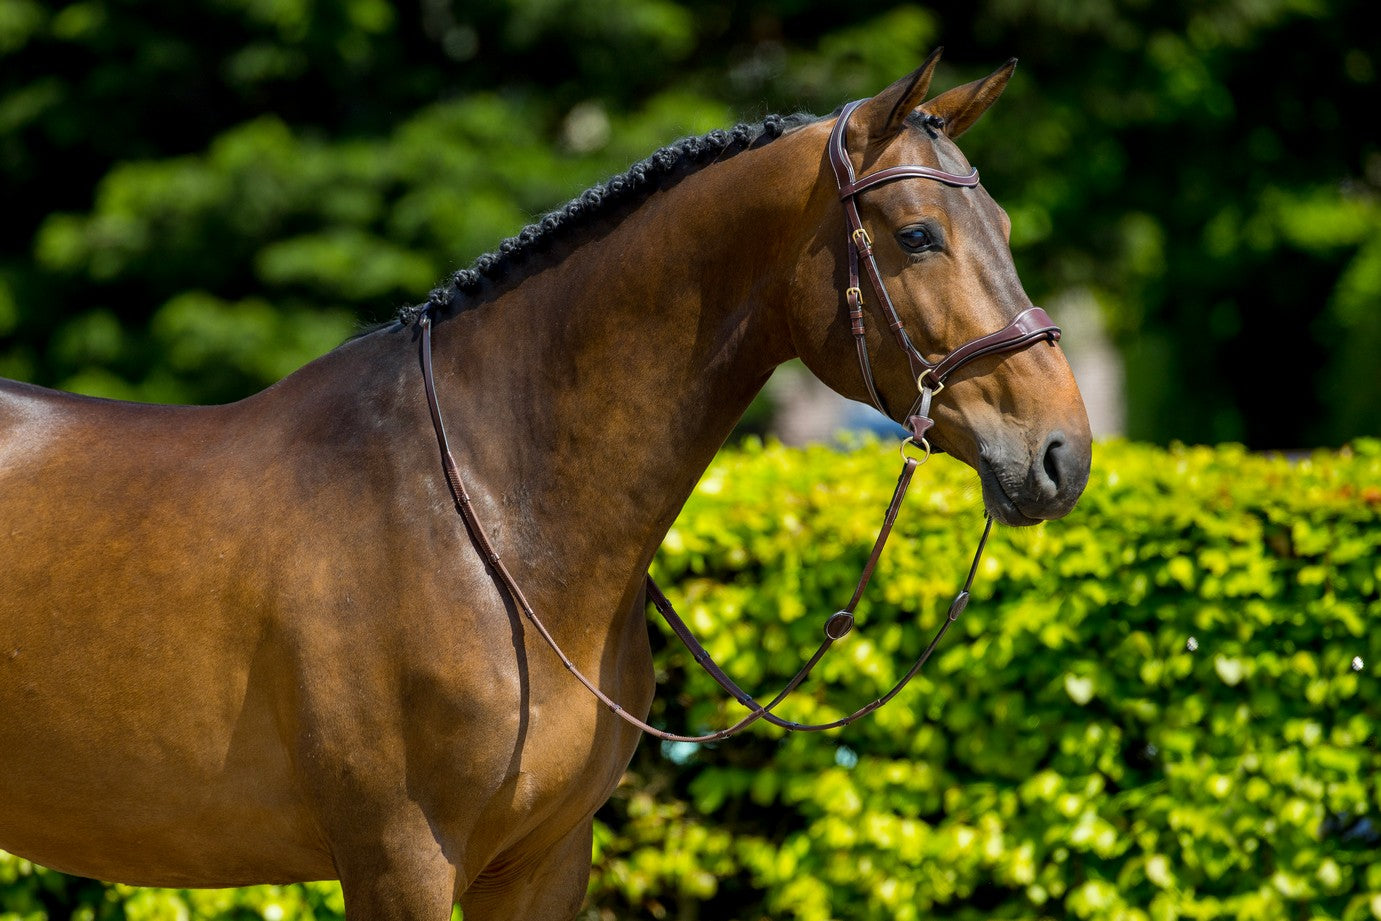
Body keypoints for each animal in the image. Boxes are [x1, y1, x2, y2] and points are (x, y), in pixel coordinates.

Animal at [2, 50, 1088, 921]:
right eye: (916, 235)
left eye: (999, 222)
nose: (1061, 453)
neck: (490, 514)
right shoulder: (400, 860)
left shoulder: (543, 860)